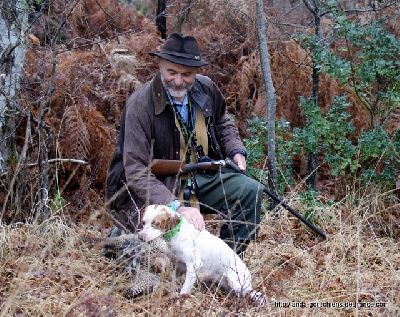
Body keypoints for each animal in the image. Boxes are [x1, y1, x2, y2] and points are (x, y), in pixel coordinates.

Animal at [139, 204, 268, 304]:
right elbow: (174, 283)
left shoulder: (194, 265)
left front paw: (179, 300)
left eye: (157, 223)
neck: (177, 232)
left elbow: (184, 290)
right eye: (143, 222)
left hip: (236, 283)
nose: (141, 237)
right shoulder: (179, 266)